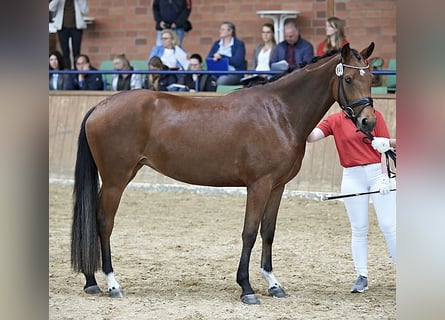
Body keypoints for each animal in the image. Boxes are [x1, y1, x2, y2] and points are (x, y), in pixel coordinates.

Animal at [72, 42, 374, 304]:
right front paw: (246, 288)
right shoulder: (259, 185)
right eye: (348, 79)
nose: (368, 122)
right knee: (103, 223)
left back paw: (91, 281)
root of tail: (100, 106)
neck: (279, 113)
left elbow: (268, 232)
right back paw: (112, 283)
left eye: (370, 77)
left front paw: (273, 284)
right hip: (116, 179)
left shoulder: (277, 187)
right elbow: (249, 233)